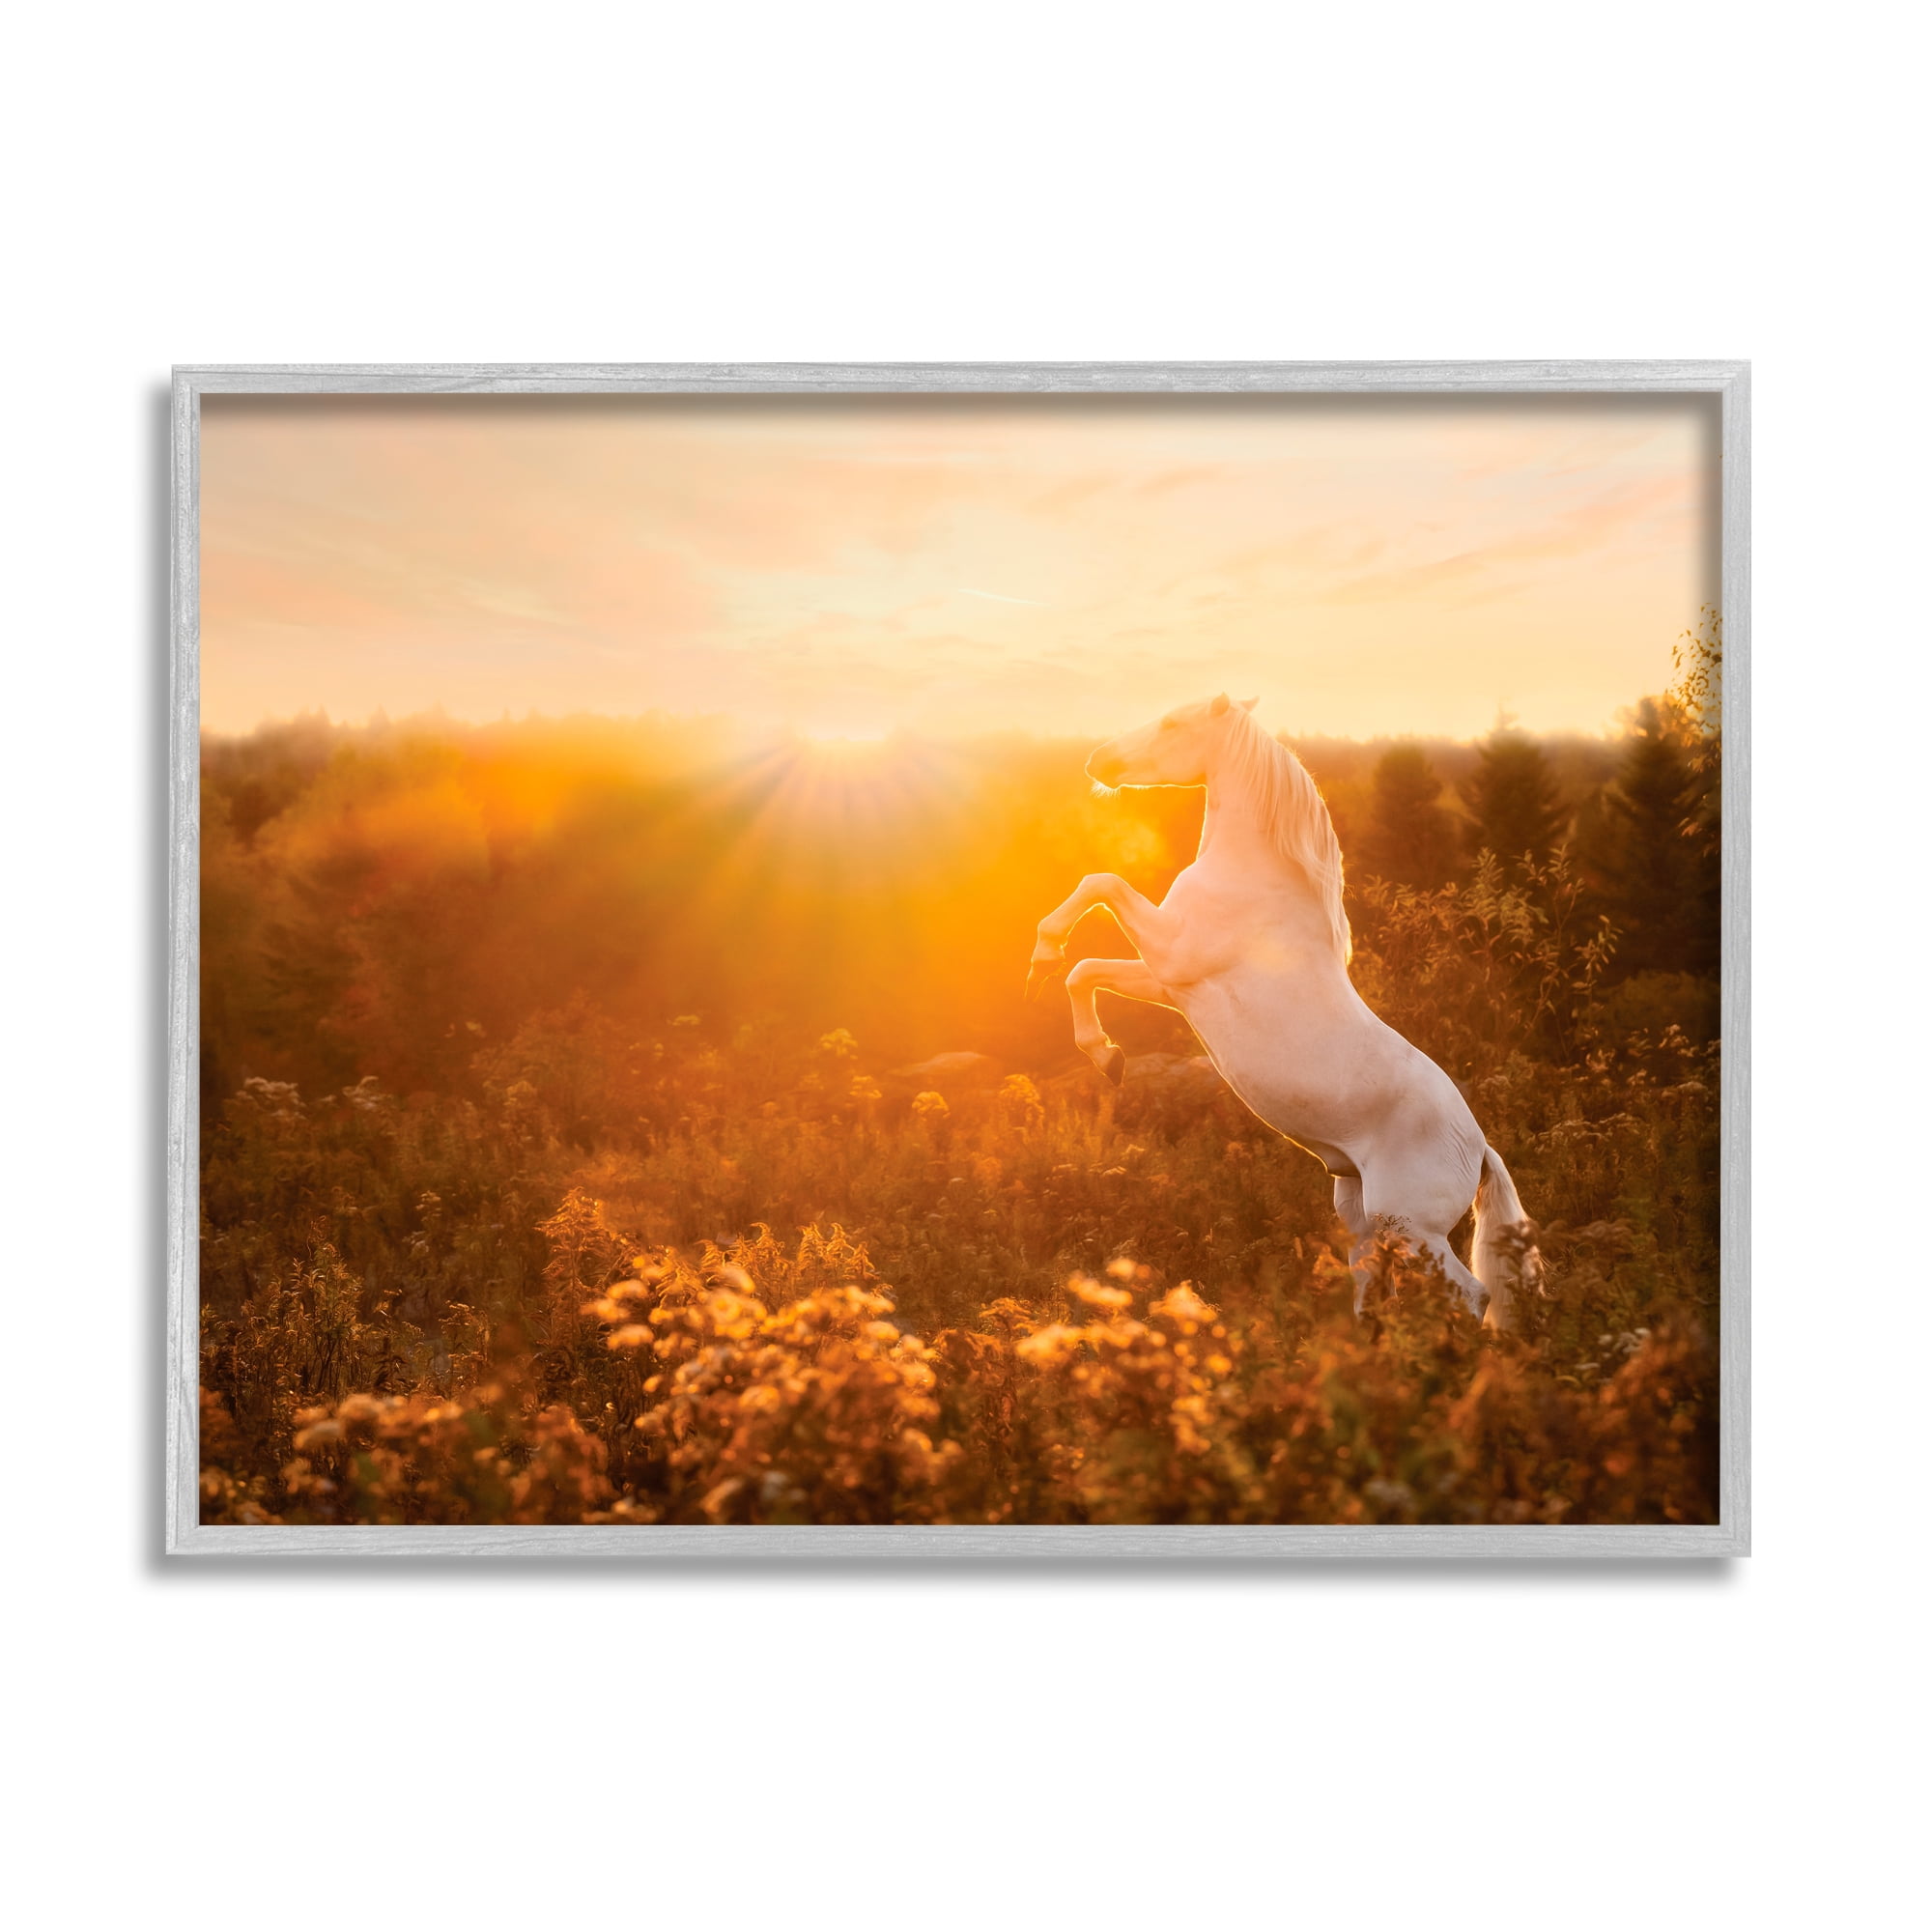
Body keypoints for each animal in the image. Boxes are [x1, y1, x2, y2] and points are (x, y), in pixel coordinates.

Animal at [1025, 692, 1543, 1328]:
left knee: (1472, 1296)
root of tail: (1478, 1146)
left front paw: (1046, 957)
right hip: (1362, 1215)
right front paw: (1107, 1057)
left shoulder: (1170, 952)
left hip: (1410, 1227)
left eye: (1173, 722)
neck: (1253, 875)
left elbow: (1101, 884)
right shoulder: (1168, 983)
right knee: (1376, 1284)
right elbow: (1084, 971)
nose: (1098, 760)